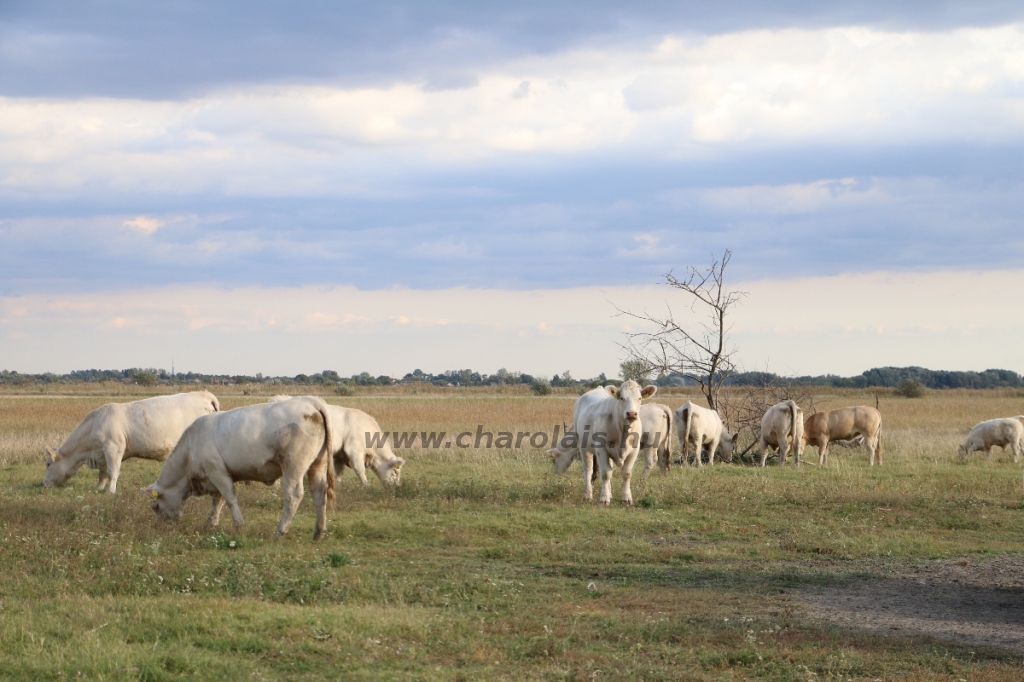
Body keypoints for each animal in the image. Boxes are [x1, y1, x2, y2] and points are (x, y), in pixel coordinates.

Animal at [45, 387, 220, 493]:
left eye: (47, 464)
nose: (44, 484)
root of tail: (203, 394)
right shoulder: (102, 454)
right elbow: (102, 473)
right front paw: (99, 488)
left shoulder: (114, 448)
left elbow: (112, 472)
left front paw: (110, 491)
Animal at [142, 395, 335, 540]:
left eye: (155, 507)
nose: (164, 527)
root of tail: (311, 401)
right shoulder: (216, 476)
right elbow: (218, 500)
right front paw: (211, 522)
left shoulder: (216, 471)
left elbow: (229, 498)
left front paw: (238, 524)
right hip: (318, 464)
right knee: (319, 494)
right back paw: (319, 532)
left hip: (293, 466)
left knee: (294, 495)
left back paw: (280, 531)